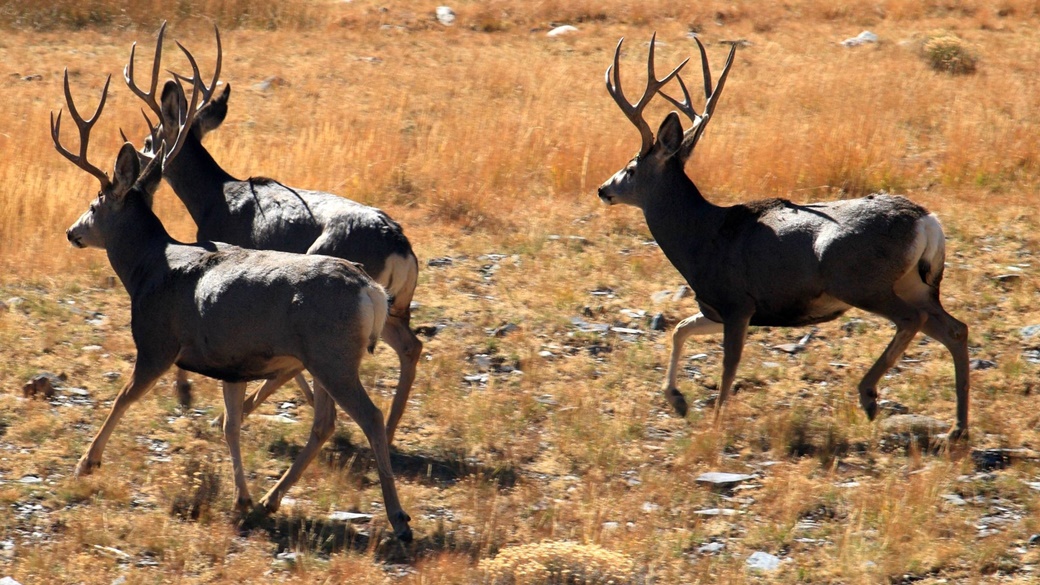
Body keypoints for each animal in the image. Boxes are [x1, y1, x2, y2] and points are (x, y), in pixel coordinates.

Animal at [124, 23, 422, 441]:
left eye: (151, 139)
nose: (139, 160)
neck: (215, 197)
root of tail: (400, 246)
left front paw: (186, 394)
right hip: (395, 307)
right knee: (412, 346)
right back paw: (390, 432)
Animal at [599, 35, 969, 437]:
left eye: (631, 168)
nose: (603, 189)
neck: (701, 237)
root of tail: (926, 221)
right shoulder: (716, 307)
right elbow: (679, 329)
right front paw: (677, 399)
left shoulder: (737, 303)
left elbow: (729, 364)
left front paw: (715, 421)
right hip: (914, 284)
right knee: (955, 329)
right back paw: (958, 427)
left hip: (860, 282)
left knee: (911, 320)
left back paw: (869, 395)